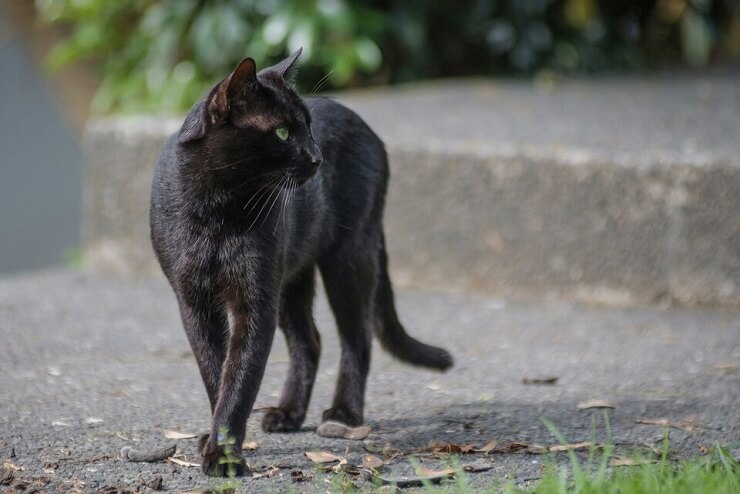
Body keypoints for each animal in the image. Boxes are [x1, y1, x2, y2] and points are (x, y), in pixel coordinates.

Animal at [150, 49, 450, 474]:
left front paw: (225, 454)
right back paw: (288, 413)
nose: (316, 157)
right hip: (292, 277)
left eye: (308, 127)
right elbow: (216, 371)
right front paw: (217, 440)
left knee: (356, 337)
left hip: (347, 258)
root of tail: (363, 123)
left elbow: (240, 377)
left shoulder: (255, 299)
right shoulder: (193, 301)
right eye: (281, 133)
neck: (216, 208)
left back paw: (343, 414)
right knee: (310, 340)